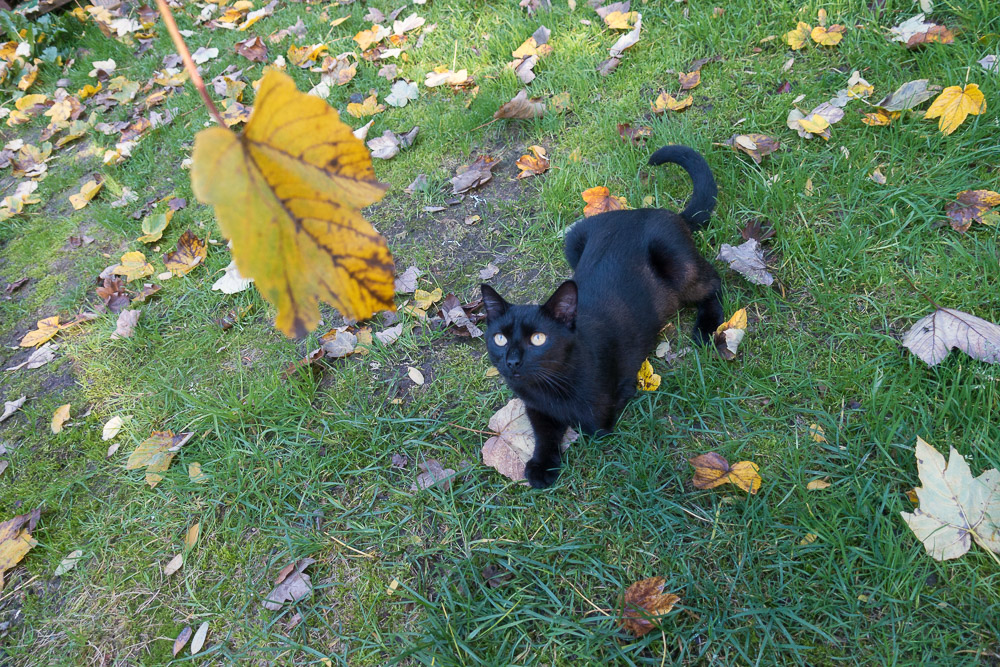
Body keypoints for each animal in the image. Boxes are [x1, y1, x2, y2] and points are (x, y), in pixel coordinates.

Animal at [480, 146, 724, 490]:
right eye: (499, 338)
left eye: (538, 338)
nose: (512, 361)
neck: (550, 386)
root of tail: (651, 211)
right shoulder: (535, 408)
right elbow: (544, 433)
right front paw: (542, 466)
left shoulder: (604, 410)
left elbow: (592, 425)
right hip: (572, 238)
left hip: (677, 265)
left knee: (714, 280)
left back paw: (706, 328)